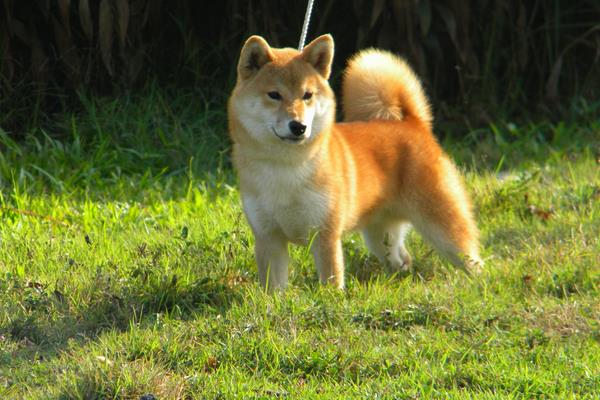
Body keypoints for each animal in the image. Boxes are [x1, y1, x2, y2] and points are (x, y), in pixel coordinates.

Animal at [227, 34, 480, 290]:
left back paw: (478, 284)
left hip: (443, 227)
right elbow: (273, 288)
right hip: (380, 234)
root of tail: (412, 123)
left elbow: (331, 279)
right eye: (274, 94)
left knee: (472, 258)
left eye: (307, 95)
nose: (298, 126)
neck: (285, 169)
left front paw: (330, 298)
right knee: (402, 258)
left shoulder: (325, 235)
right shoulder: (268, 238)